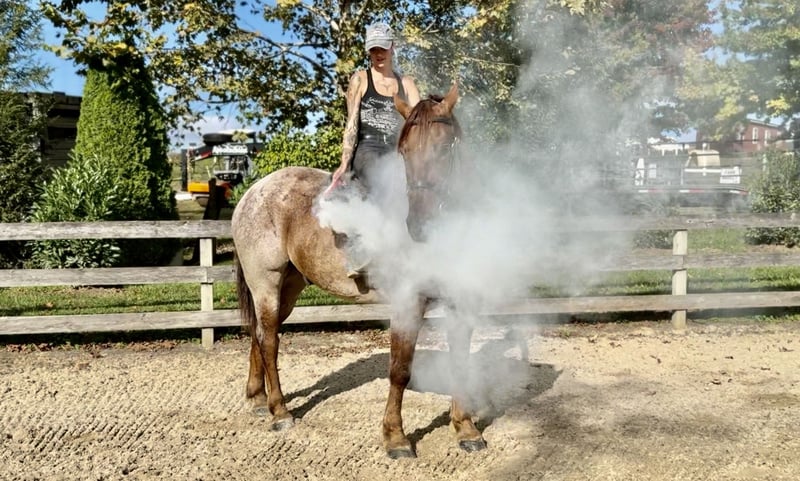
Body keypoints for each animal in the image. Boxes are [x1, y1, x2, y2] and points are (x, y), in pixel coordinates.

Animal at [232, 83, 487, 458]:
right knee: (270, 340)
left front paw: (466, 429)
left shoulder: (460, 301)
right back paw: (280, 411)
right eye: (404, 152)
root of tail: (253, 192)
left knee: (260, 333)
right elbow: (400, 369)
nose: (418, 223)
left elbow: (460, 363)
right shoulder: (407, 303)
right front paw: (395, 437)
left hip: (288, 287)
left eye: (444, 147)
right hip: (265, 281)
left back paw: (257, 399)